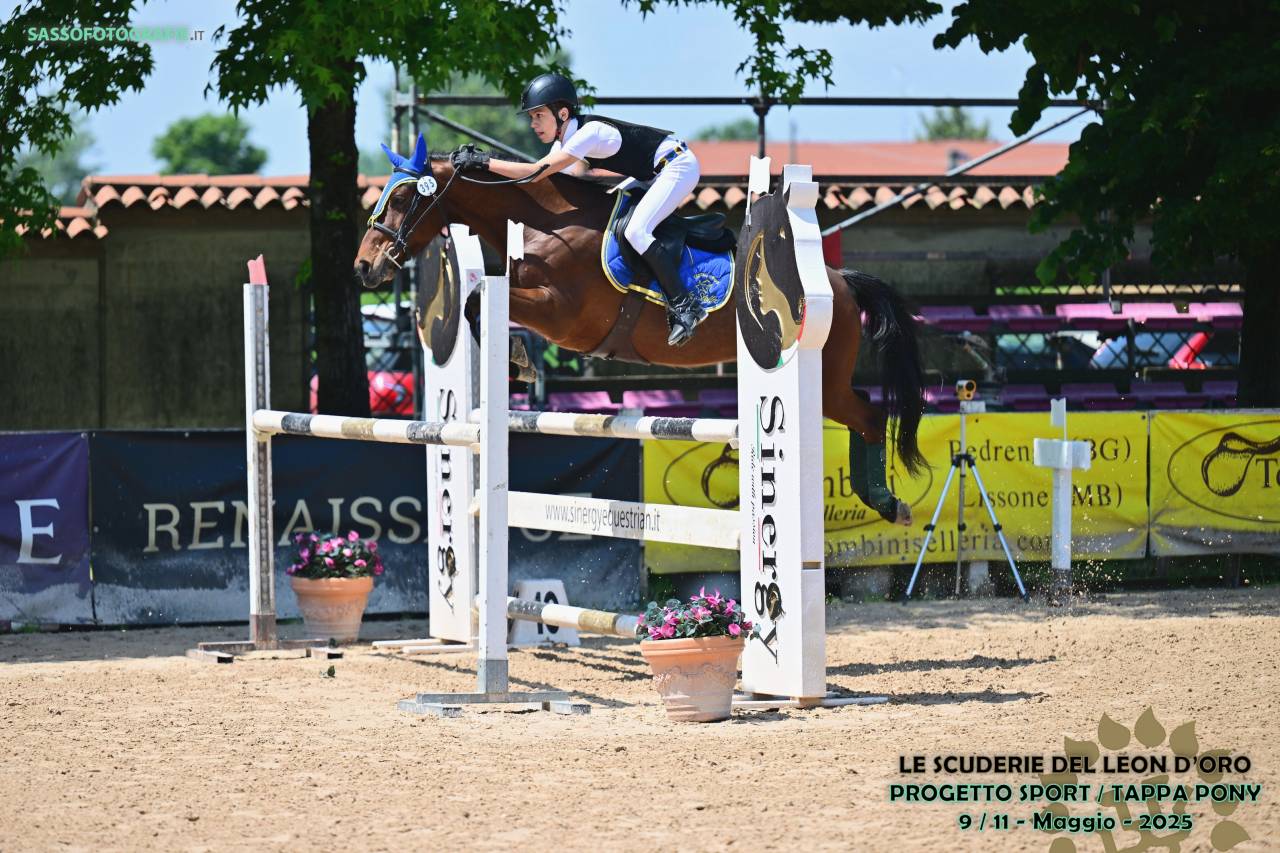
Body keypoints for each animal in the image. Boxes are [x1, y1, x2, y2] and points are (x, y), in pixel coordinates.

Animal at [354, 154, 926, 524]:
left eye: (401, 196)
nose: (364, 267)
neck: (546, 225)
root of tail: (839, 280)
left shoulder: (564, 315)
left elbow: (479, 301)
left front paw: (520, 361)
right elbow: (478, 303)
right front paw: (519, 362)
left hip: (824, 381)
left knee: (871, 414)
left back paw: (887, 504)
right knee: (868, 412)